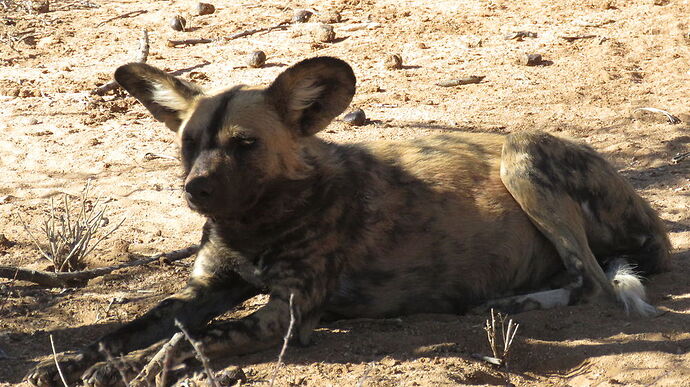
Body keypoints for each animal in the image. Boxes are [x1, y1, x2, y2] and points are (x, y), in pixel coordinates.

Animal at [26, 56, 668, 386]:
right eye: (189, 144)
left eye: (244, 144)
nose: (195, 189)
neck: (252, 222)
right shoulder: (202, 292)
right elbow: (126, 331)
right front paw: (67, 363)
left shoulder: (286, 316)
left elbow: (183, 344)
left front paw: (129, 370)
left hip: (521, 152)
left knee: (593, 284)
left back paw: (520, 303)